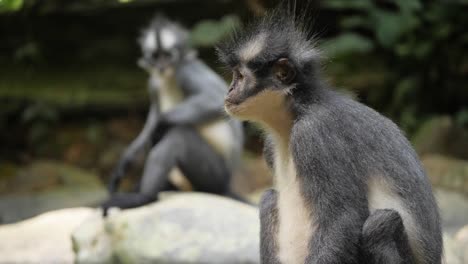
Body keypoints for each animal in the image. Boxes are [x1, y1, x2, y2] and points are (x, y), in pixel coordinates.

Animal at [100, 14, 243, 217]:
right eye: (156, 56)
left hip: (215, 176)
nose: (161, 66)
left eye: (167, 56)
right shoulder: (153, 84)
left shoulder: (187, 71)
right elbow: (152, 119)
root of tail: (227, 183)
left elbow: (214, 100)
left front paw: (160, 125)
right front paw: (125, 162)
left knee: (177, 137)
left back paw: (144, 196)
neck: (167, 77)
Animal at [217, 2, 442, 264]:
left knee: (379, 224)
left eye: (240, 77)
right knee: (269, 199)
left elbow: (342, 220)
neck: (295, 117)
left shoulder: (315, 134)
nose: (229, 90)